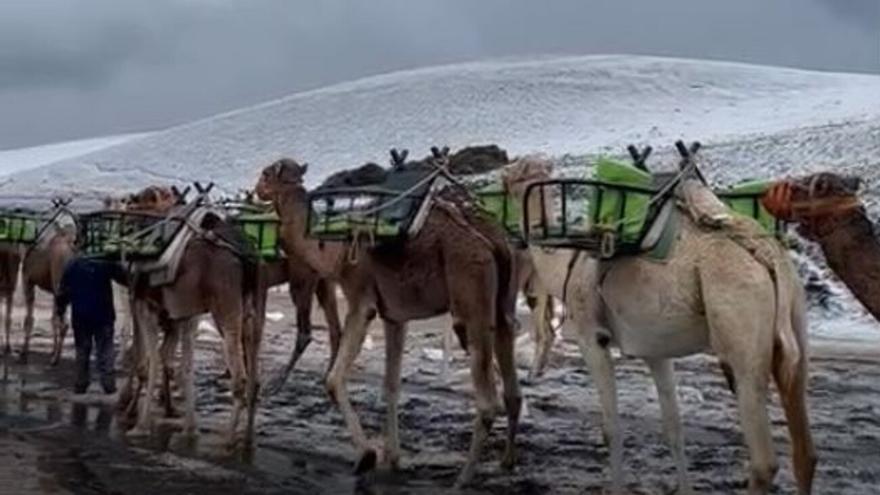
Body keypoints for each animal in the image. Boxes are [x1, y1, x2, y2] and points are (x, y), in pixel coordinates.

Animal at [253, 156, 524, 488]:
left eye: (266, 174)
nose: (256, 190)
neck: (333, 250)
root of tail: (493, 243)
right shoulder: (395, 315)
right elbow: (391, 384)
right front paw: (391, 458)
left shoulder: (361, 300)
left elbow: (333, 379)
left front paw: (367, 456)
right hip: (502, 304)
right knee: (512, 387)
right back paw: (507, 462)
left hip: (471, 301)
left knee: (487, 402)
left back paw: (461, 480)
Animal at [502, 158, 820, 495]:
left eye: (514, 176)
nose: (503, 186)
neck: (568, 264)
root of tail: (768, 259)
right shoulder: (656, 352)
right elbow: (673, 428)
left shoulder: (592, 338)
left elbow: (611, 428)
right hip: (795, 323)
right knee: (805, 451)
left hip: (741, 330)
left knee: (764, 462)